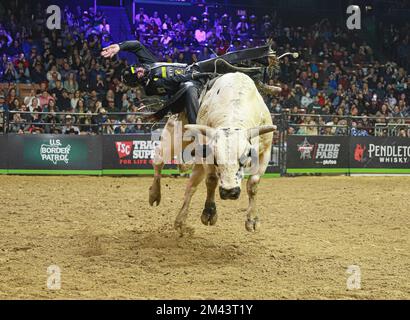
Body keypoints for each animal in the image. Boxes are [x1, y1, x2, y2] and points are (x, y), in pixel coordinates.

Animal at [148, 72, 276, 232]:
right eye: (215, 159)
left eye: (245, 156)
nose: (229, 192)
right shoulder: (206, 154)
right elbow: (212, 180)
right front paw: (209, 213)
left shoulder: (265, 151)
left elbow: (253, 183)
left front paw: (252, 220)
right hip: (174, 136)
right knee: (158, 160)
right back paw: (154, 194)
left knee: (191, 186)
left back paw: (180, 220)